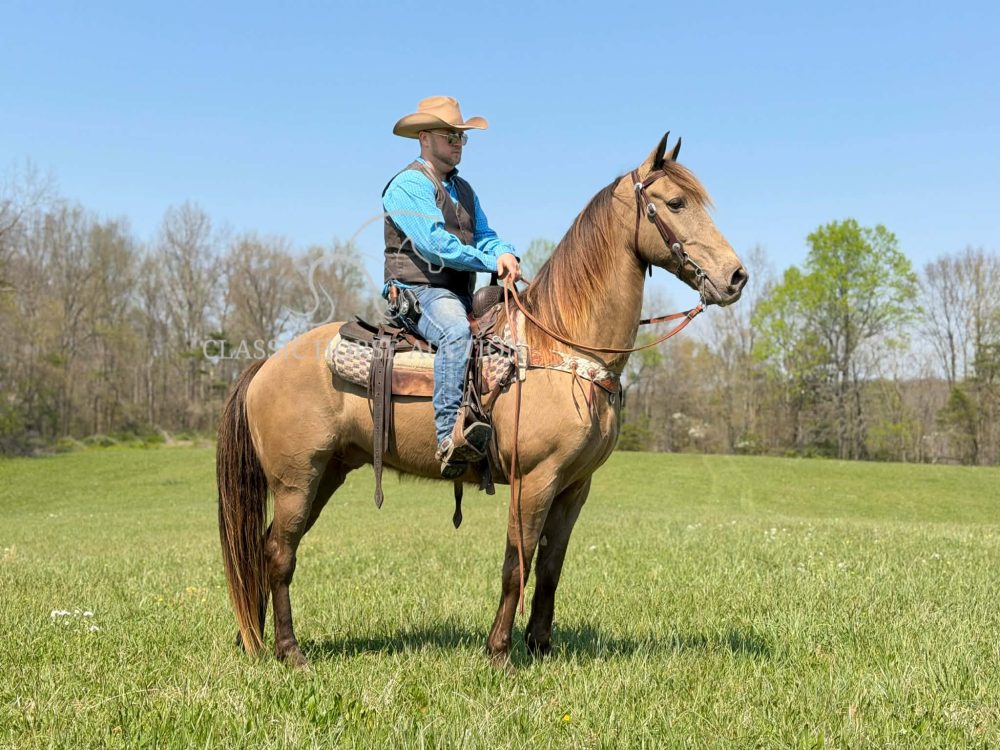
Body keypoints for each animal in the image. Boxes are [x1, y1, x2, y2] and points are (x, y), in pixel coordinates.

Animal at [216, 133, 748, 669]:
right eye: (676, 203)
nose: (736, 277)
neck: (562, 347)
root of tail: (267, 364)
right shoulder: (534, 480)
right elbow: (518, 563)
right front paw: (499, 652)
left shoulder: (575, 486)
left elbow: (551, 567)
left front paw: (541, 646)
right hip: (296, 479)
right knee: (279, 554)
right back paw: (290, 652)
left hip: (324, 474)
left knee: (266, 548)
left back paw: (254, 639)